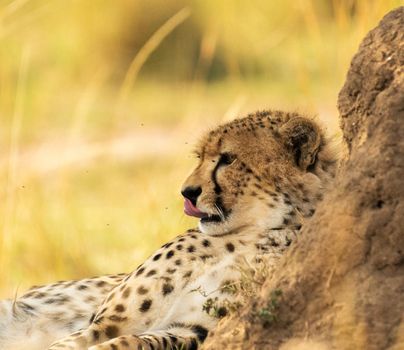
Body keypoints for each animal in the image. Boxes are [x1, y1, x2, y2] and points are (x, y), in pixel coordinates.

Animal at [0, 110, 338, 350]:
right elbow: (73, 341)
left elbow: (133, 341)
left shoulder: (191, 330)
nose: (187, 192)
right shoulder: (104, 323)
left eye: (228, 159)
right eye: (201, 157)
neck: (255, 232)